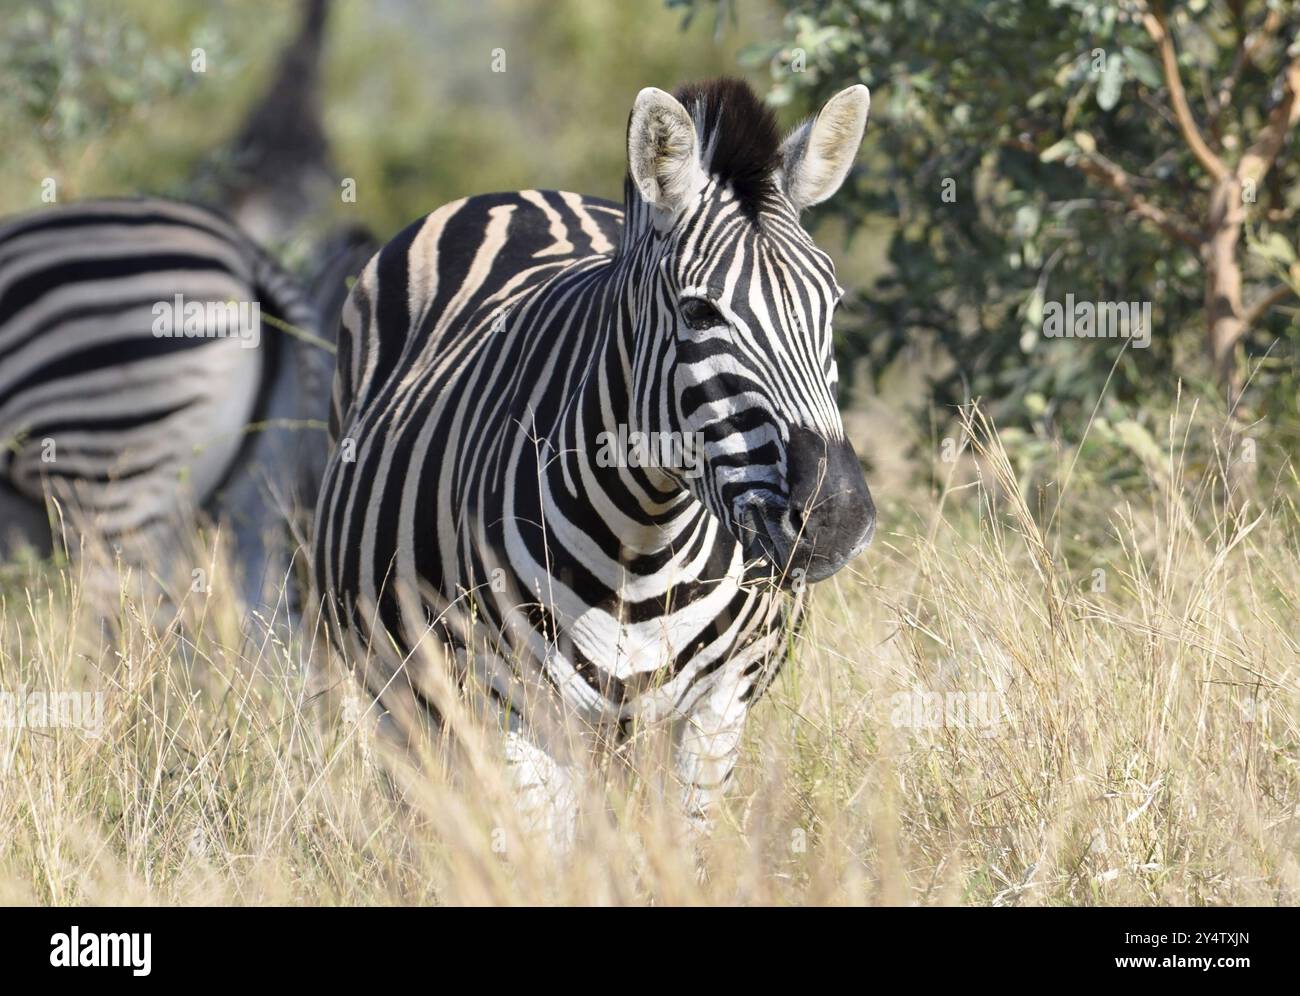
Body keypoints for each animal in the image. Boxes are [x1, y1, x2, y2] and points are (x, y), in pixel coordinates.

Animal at [313, 78, 875, 842]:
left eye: (832, 307)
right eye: (700, 314)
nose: (838, 517)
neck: (646, 538)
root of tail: (525, 193)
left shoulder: (718, 709)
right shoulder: (515, 707)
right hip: (400, 691)